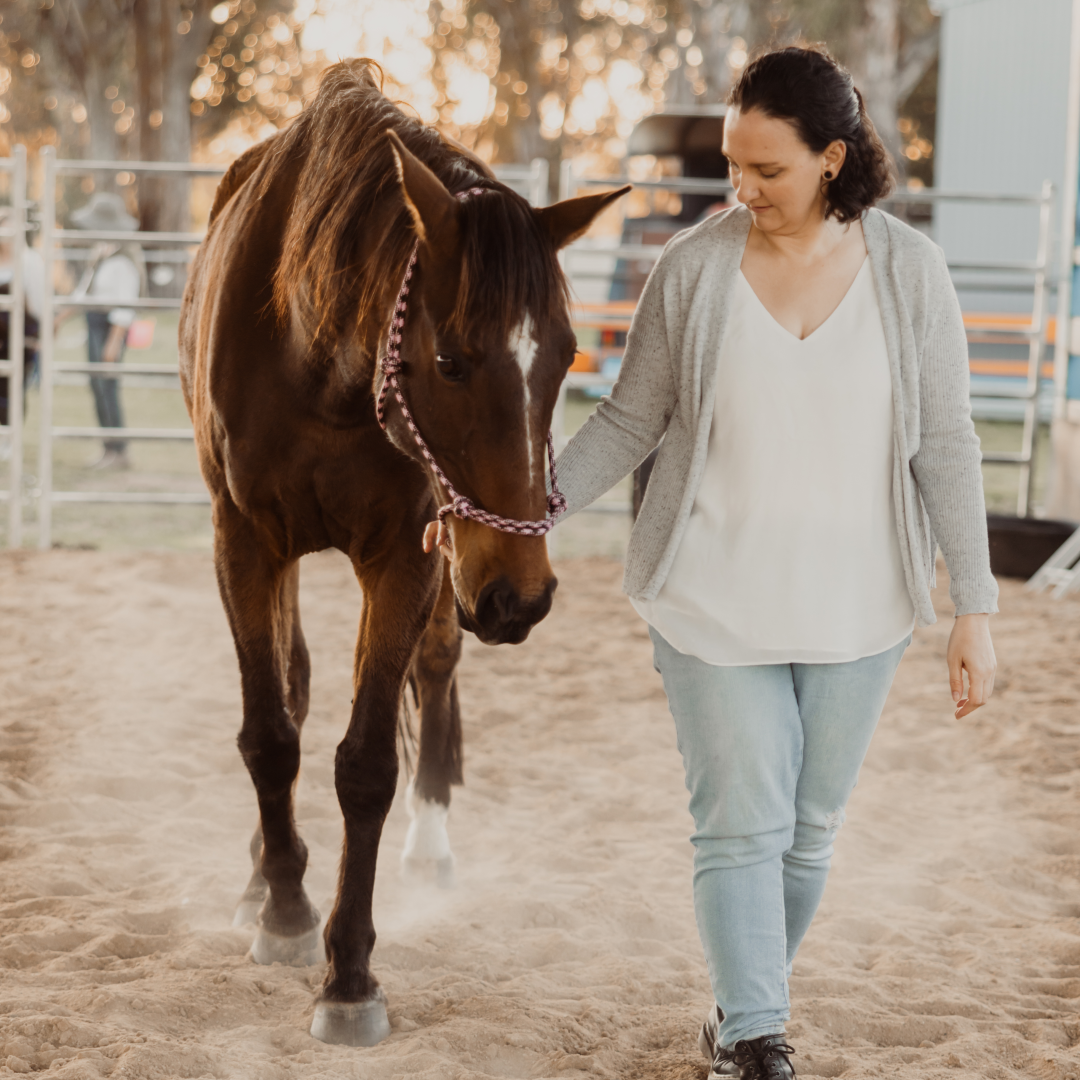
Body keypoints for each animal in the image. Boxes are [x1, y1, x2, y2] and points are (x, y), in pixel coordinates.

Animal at [178, 58, 628, 1047]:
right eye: (452, 360)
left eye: (566, 356)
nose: (523, 597)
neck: (316, 356)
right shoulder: (244, 541)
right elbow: (271, 731)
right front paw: (286, 911)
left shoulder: (412, 558)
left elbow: (369, 763)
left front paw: (349, 976)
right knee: (293, 687)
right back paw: (262, 875)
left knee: (434, 668)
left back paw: (428, 845)